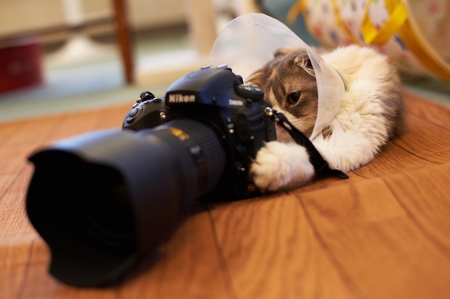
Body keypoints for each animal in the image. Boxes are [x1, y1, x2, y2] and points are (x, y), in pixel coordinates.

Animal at [248, 45, 406, 193]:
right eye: (266, 105)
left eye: (294, 97)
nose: (276, 122)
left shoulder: (354, 135)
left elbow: (313, 151)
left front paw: (271, 162)